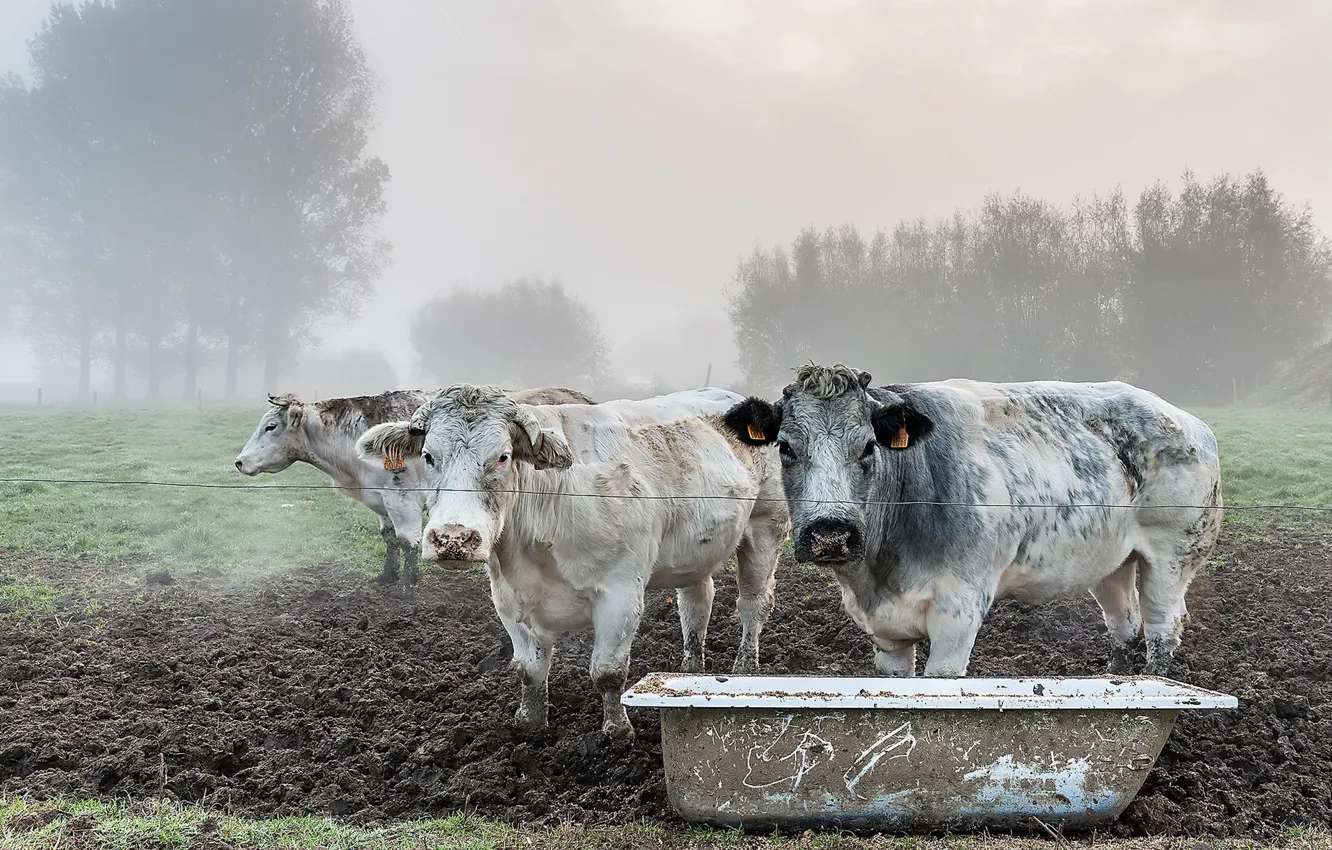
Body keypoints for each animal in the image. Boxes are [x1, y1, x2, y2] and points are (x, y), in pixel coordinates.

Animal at [234, 387, 594, 594]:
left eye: (270, 426)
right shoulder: (383, 502)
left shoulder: (402, 498)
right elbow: (390, 539)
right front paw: (387, 577)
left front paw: (406, 585)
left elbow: (408, 541)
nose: (239, 462)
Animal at [355, 385, 789, 738]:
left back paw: (745, 670)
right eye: (429, 456)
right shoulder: (508, 599)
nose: (453, 538)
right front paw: (529, 722)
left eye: (503, 456)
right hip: (694, 552)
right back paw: (690, 670)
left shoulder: (620, 593)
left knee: (752, 604)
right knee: (697, 602)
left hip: (767, 527)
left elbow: (608, 672)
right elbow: (529, 671)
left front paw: (617, 732)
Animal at [721, 363, 1222, 679]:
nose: (830, 534)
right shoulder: (886, 635)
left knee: (1162, 629)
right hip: (1111, 562)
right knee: (1124, 625)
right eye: (786, 447)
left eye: (868, 446)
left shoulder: (957, 614)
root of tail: (1188, 421)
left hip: (1172, 557)